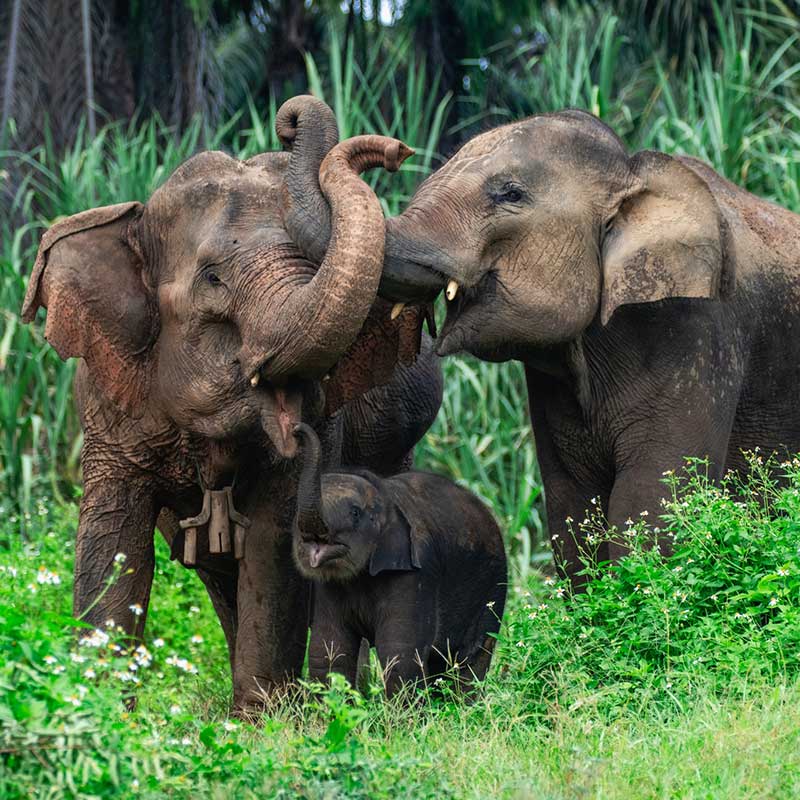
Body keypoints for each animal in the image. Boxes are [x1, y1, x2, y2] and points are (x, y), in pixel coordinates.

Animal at [21, 95, 443, 711]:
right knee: (217, 571)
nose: (398, 151)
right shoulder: (108, 403)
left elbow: (275, 544)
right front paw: (100, 707)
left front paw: (265, 719)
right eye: (214, 279)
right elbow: (113, 543)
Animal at [291, 423, 507, 697]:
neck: (385, 497)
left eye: (355, 513)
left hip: (493, 585)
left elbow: (399, 652)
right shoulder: (328, 585)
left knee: (472, 656)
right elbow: (330, 648)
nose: (296, 429)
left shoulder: (417, 570)